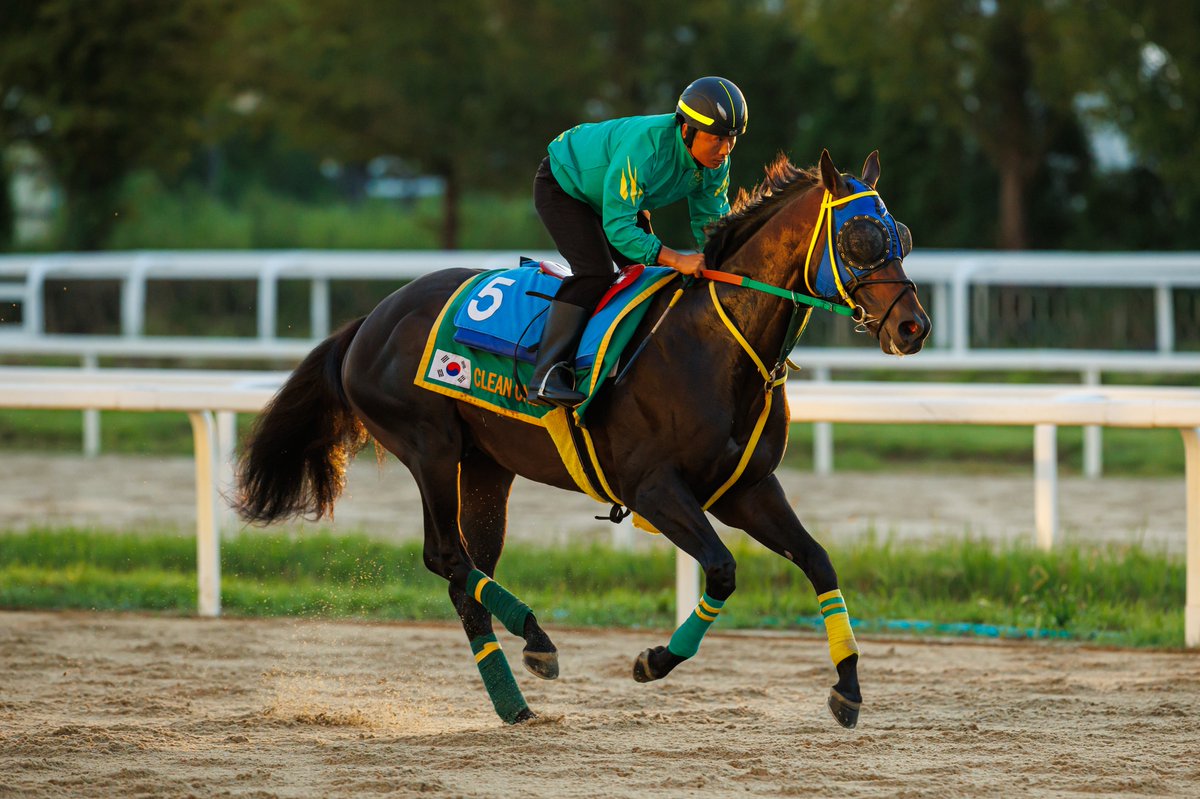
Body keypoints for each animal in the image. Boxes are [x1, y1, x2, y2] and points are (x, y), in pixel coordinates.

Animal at [235, 149, 931, 728]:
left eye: (902, 234)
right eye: (861, 238)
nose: (913, 327)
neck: (714, 345)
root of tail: (370, 320)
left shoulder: (746, 489)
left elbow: (818, 561)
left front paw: (848, 687)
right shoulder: (654, 490)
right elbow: (722, 569)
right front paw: (654, 660)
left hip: (486, 467)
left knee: (466, 575)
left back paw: (514, 698)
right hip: (429, 446)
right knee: (446, 556)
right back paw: (537, 638)